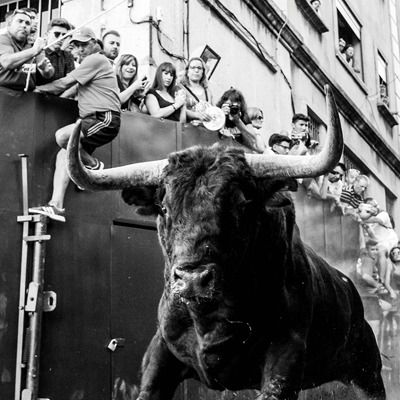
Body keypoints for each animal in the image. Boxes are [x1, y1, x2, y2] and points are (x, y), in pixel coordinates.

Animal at [67, 86, 386, 396]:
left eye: (241, 202)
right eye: (164, 207)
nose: (193, 279)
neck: (211, 317)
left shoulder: (287, 352)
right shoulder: (161, 352)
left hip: (367, 371)